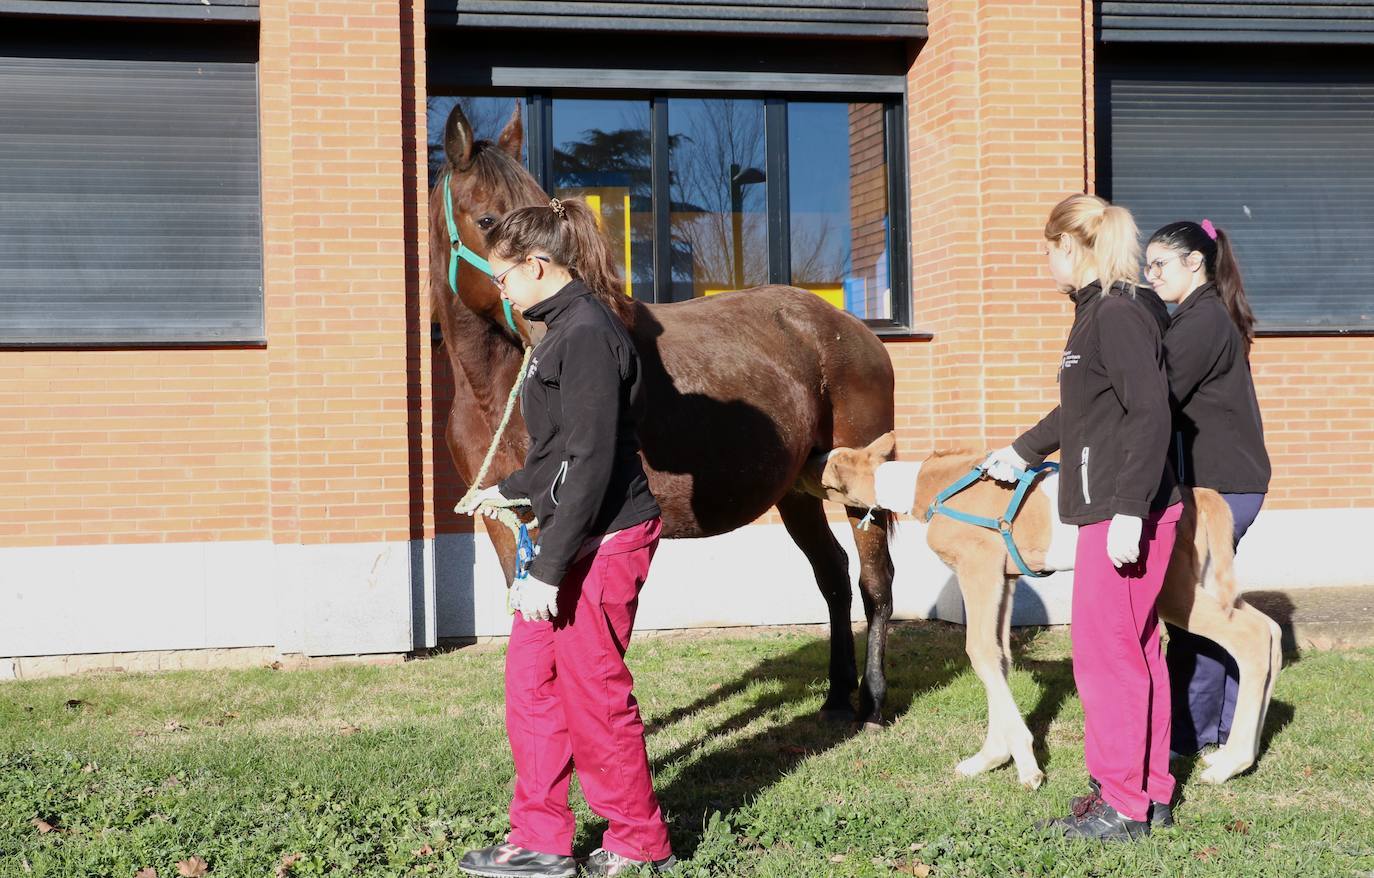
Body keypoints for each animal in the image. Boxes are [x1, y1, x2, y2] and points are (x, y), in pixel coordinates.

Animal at [431, 103, 901, 725]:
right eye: (486, 219)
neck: (499, 392)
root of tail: (856, 331)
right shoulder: (505, 523)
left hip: (859, 489)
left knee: (875, 581)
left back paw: (871, 702)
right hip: (797, 490)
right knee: (833, 576)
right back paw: (835, 697)